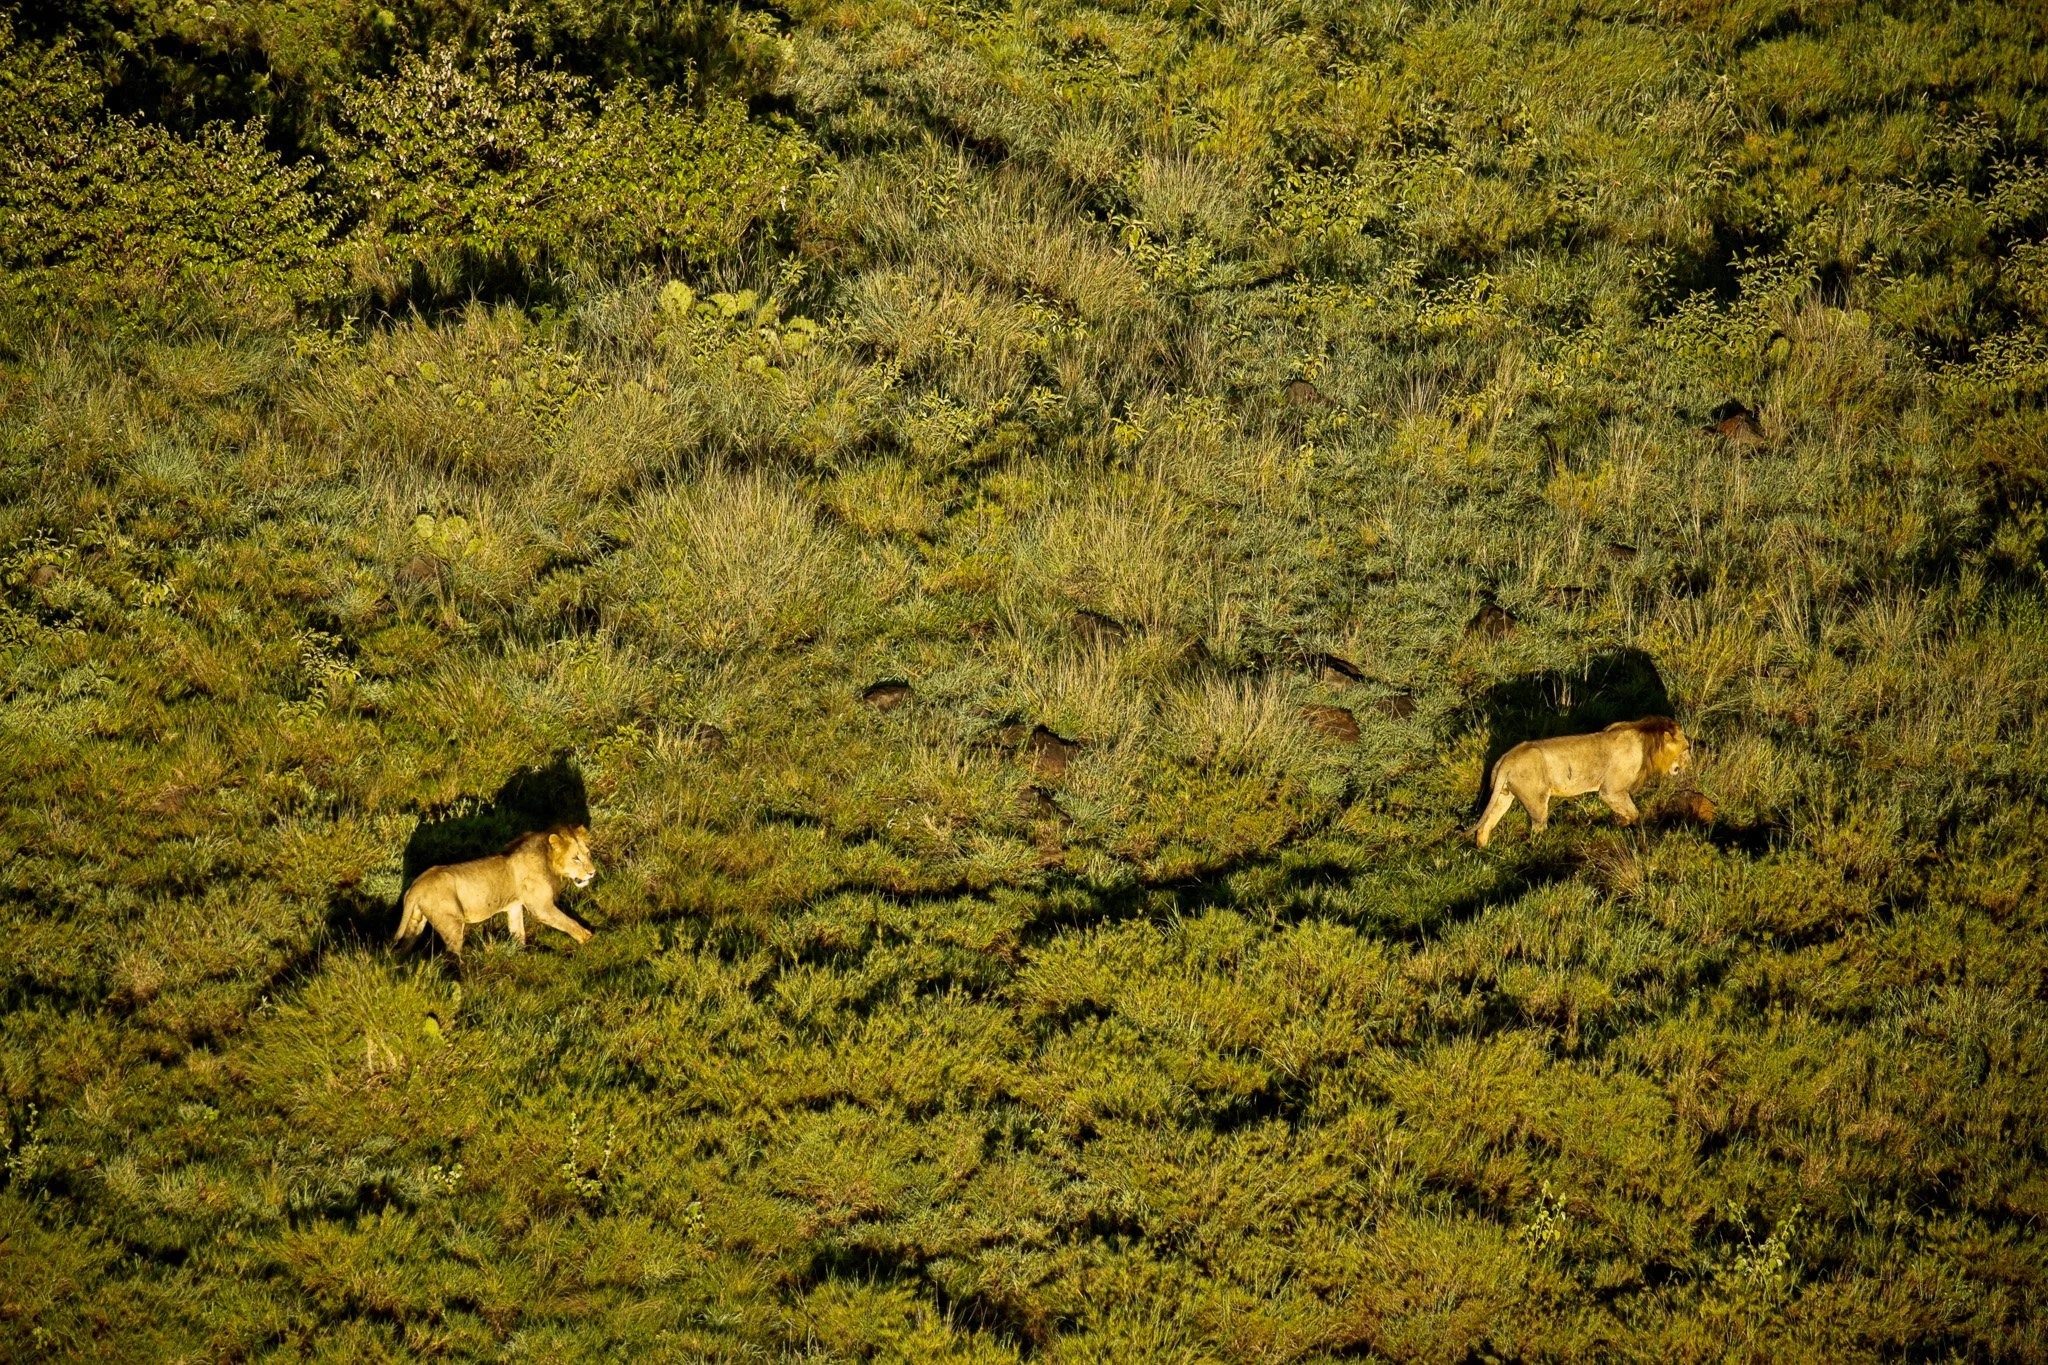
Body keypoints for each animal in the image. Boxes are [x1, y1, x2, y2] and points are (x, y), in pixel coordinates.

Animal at [396, 824, 596, 957]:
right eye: (575, 858)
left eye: (588, 854)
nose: (592, 872)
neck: (548, 860)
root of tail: (415, 886)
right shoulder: (541, 908)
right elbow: (567, 921)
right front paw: (587, 938)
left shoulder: (514, 906)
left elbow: (518, 931)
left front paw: (522, 953)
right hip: (451, 923)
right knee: (451, 955)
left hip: (416, 920)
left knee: (406, 944)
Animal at [1474, 717, 1690, 848]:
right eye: (1687, 747)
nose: (1689, 763)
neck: (1647, 738)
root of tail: (1507, 759)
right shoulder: (1611, 790)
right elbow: (1632, 812)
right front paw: (1622, 825)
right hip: (1537, 800)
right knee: (1537, 828)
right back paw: (1543, 847)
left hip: (1503, 795)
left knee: (1486, 824)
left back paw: (1484, 849)